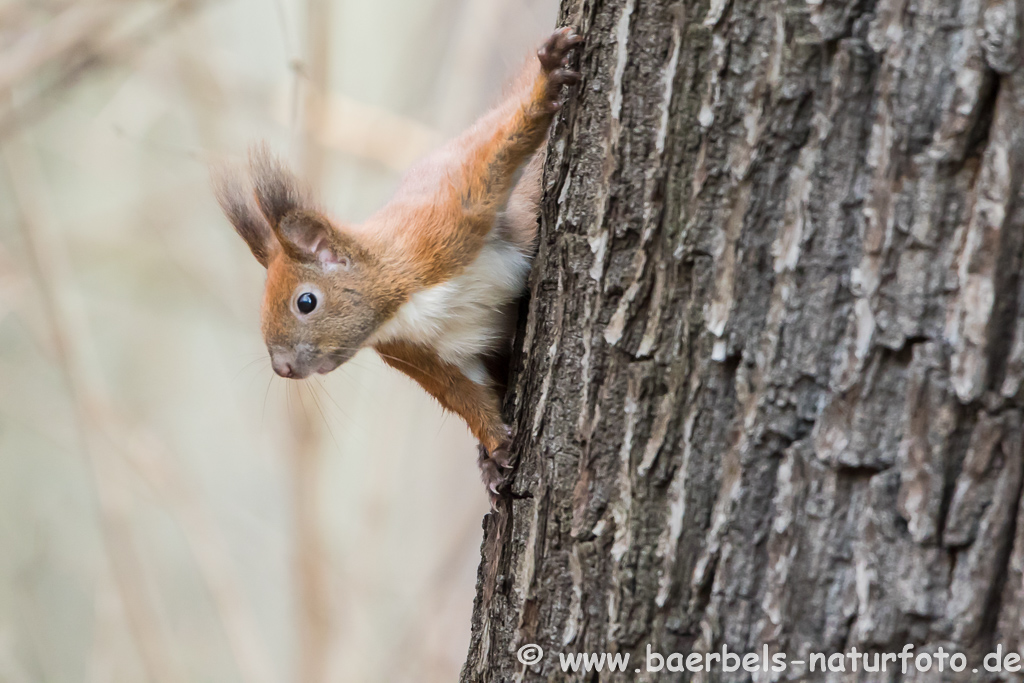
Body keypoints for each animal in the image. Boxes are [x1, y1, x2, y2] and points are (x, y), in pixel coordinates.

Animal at [211, 26, 581, 501]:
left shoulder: (442, 223)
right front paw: (496, 447)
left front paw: (546, 84)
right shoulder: (416, 354)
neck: (403, 302)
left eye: (305, 302)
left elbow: (494, 155)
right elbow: (463, 395)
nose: (283, 368)